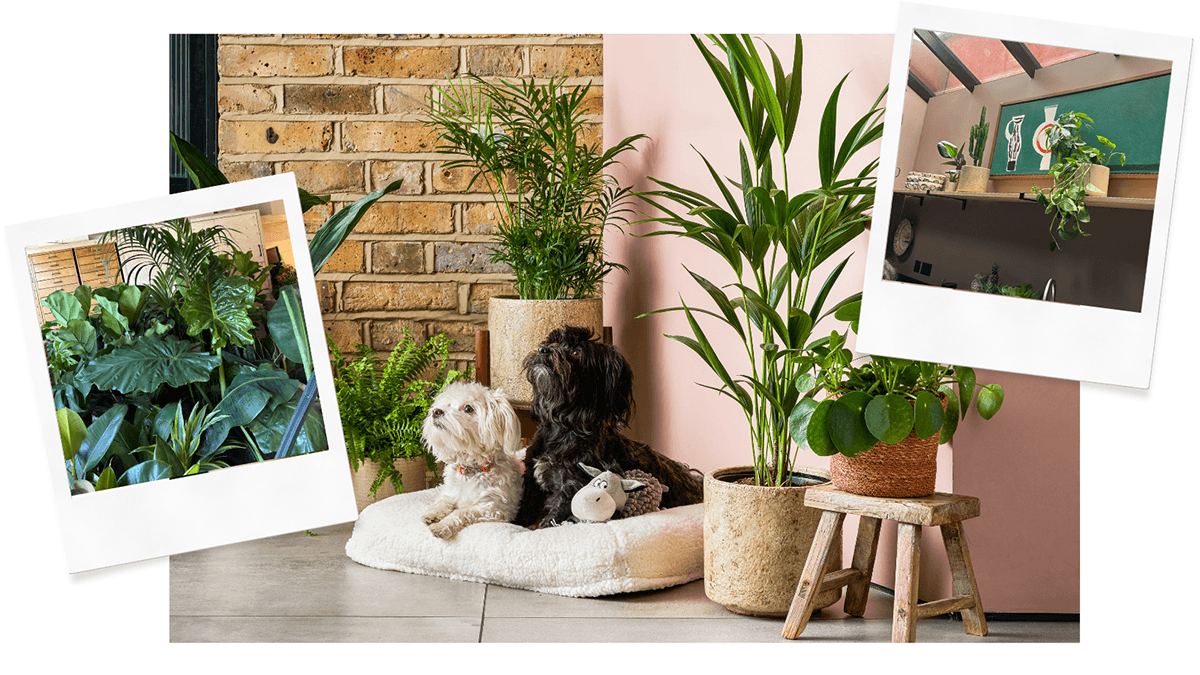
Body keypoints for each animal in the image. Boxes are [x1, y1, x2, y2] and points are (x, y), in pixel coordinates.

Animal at [420, 381, 523, 538]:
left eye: (468, 408)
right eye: (447, 404)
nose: (436, 411)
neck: (470, 470)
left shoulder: (492, 509)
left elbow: (460, 512)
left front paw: (441, 526)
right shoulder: (450, 492)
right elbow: (443, 501)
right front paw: (432, 514)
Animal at [513, 324, 700, 528]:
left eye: (576, 352)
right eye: (551, 341)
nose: (542, 350)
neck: (563, 427)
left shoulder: (571, 483)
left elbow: (556, 511)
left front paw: (543, 526)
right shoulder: (531, 479)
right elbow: (525, 507)